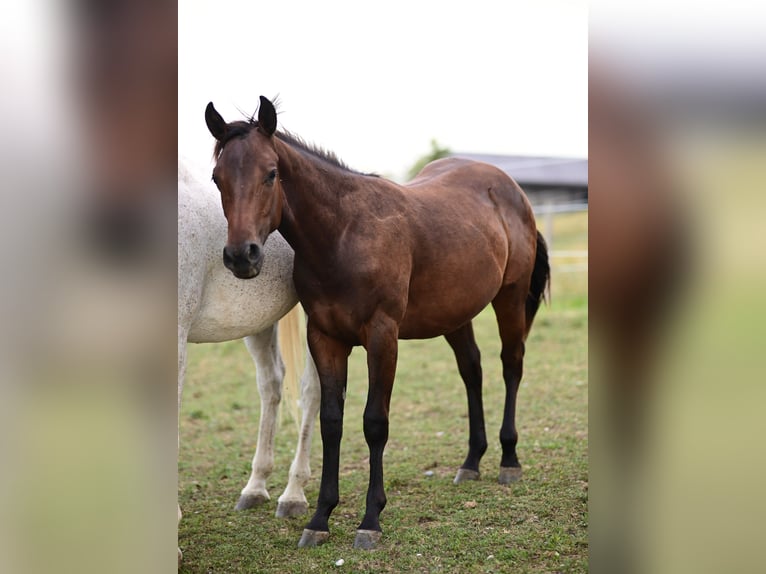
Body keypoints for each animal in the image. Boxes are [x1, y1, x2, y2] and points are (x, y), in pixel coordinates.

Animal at [204, 97, 550, 550]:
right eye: (217, 177)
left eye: (271, 173)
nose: (241, 256)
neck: (344, 234)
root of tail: (510, 188)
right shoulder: (325, 338)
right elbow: (331, 422)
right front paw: (320, 517)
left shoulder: (383, 337)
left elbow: (374, 423)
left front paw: (370, 519)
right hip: (455, 313)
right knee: (471, 370)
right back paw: (472, 460)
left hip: (509, 297)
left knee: (512, 364)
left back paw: (509, 459)